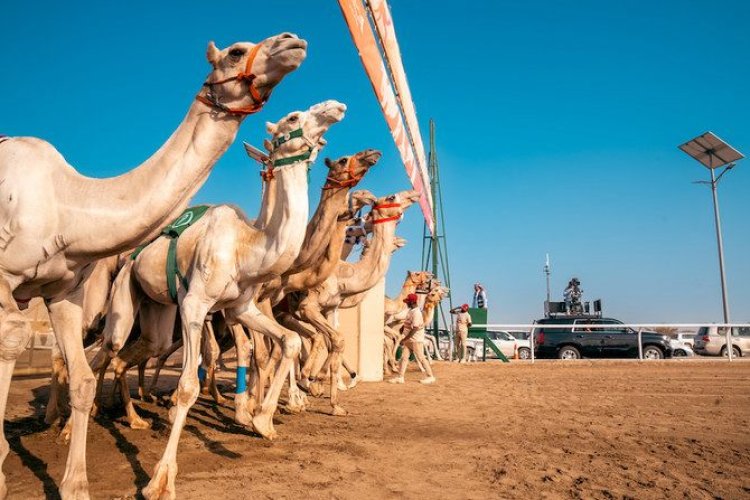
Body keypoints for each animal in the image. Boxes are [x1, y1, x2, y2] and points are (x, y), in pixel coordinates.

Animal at [0, 33, 305, 499]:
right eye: (236, 51)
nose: (293, 41)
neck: (70, 206)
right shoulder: (6, 277)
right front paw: (160, 480)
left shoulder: (64, 292)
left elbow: (84, 380)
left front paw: (76, 484)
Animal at [102, 100, 345, 499]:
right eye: (293, 117)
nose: (335, 107)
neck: (246, 248)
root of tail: (131, 256)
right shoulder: (195, 304)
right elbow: (187, 386)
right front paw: (159, 481)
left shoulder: (240, 307)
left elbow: (289, 341)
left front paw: (262, 421)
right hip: (126, 295)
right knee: (108, 347)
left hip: (158, 313)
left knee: (137, 351)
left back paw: (135, 418)